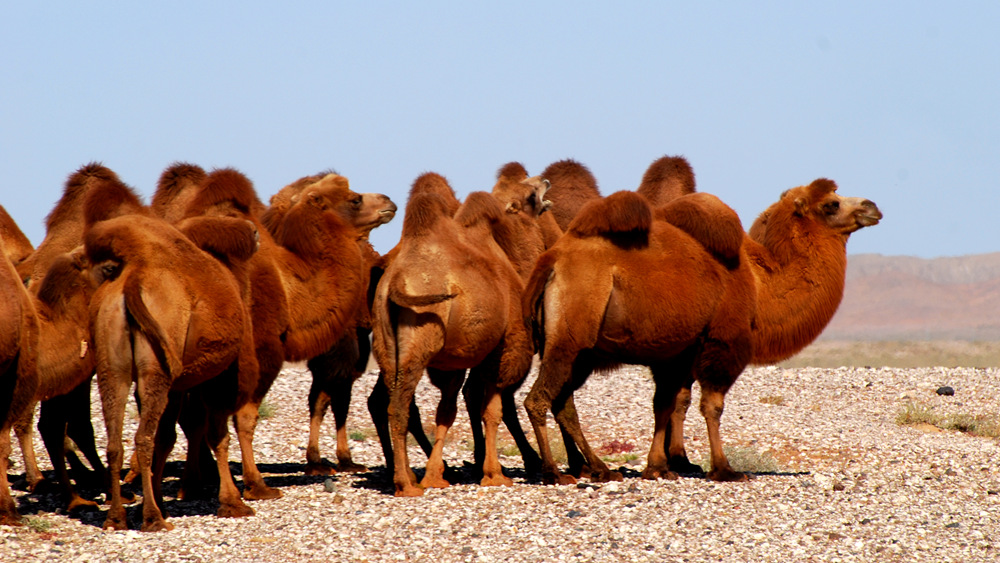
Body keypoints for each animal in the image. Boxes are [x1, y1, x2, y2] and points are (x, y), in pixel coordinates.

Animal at [372, 174, 536, 496]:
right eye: (530, 195)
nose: (545, 181)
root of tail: (394, 282)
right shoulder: (501, 348)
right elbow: (492, 410)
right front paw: (494, 474)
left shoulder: (453, 360)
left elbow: (446, 411)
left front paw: (436, 475)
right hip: (420, 338)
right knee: (399, 405)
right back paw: (405, 485)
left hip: (385, 343)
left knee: (395, 403)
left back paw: (407, 479)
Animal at [524, 180, 884, 484]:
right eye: (831, 204)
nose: (872, 207)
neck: (759, 283)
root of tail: (552, 261)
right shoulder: (722, 341)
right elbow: (712, 406)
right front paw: (724, 469)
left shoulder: (677, 352)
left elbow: (667, 403)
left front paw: (663, 466)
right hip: (570, 336)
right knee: (538, 399)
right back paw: (554, 472)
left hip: (581, 352)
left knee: (563, 403)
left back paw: (599, 468)